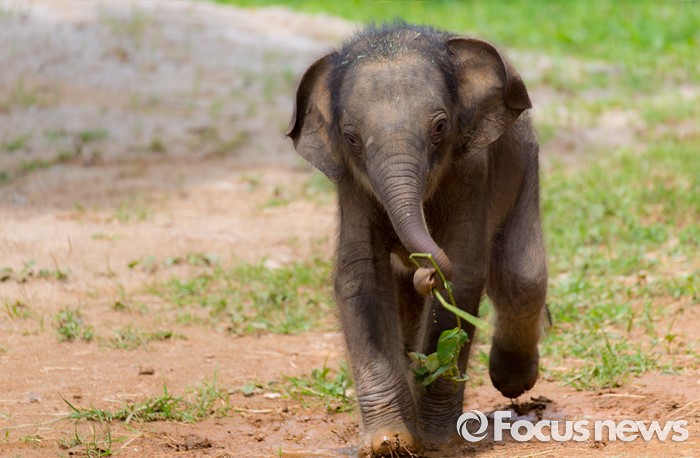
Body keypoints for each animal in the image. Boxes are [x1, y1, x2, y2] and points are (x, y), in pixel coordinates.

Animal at [287, 22, 549, 457]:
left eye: (440, 127)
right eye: (351, 137)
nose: (424, 272)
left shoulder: (471, 170)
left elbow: (463, 274)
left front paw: (437, 439)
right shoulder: (351, 184)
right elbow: (360, 279)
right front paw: (388, 442)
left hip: (526, 161)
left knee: (522, 278)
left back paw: (513, 383)